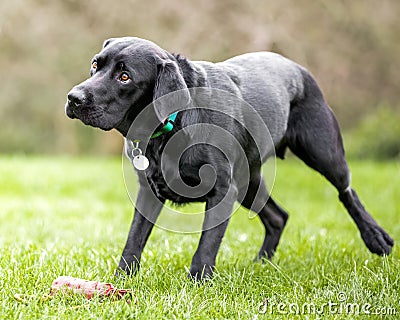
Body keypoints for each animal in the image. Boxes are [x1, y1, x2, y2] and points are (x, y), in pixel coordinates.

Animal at [66, 37, 394, 280]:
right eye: (95, 65)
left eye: (125, 76)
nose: (73, 98)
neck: (175, 122)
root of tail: (297, 67)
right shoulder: (149, 192)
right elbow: (133, 240)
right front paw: (121, 281)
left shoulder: (222, 191)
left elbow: (206, 245)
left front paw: (197, 284)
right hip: (249, 180)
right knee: (279, 216)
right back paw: (262, 264)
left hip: (323, 152)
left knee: (346, 190)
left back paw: (377, 238)